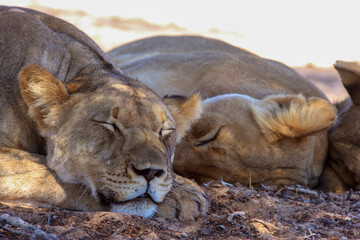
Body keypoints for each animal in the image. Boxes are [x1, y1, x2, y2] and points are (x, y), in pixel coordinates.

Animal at [0, 7, 208, 221]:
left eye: (163, 131)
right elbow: (40, 170)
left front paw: (181, 187)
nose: (151, 172)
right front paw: (183, 196)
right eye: (110, 125)